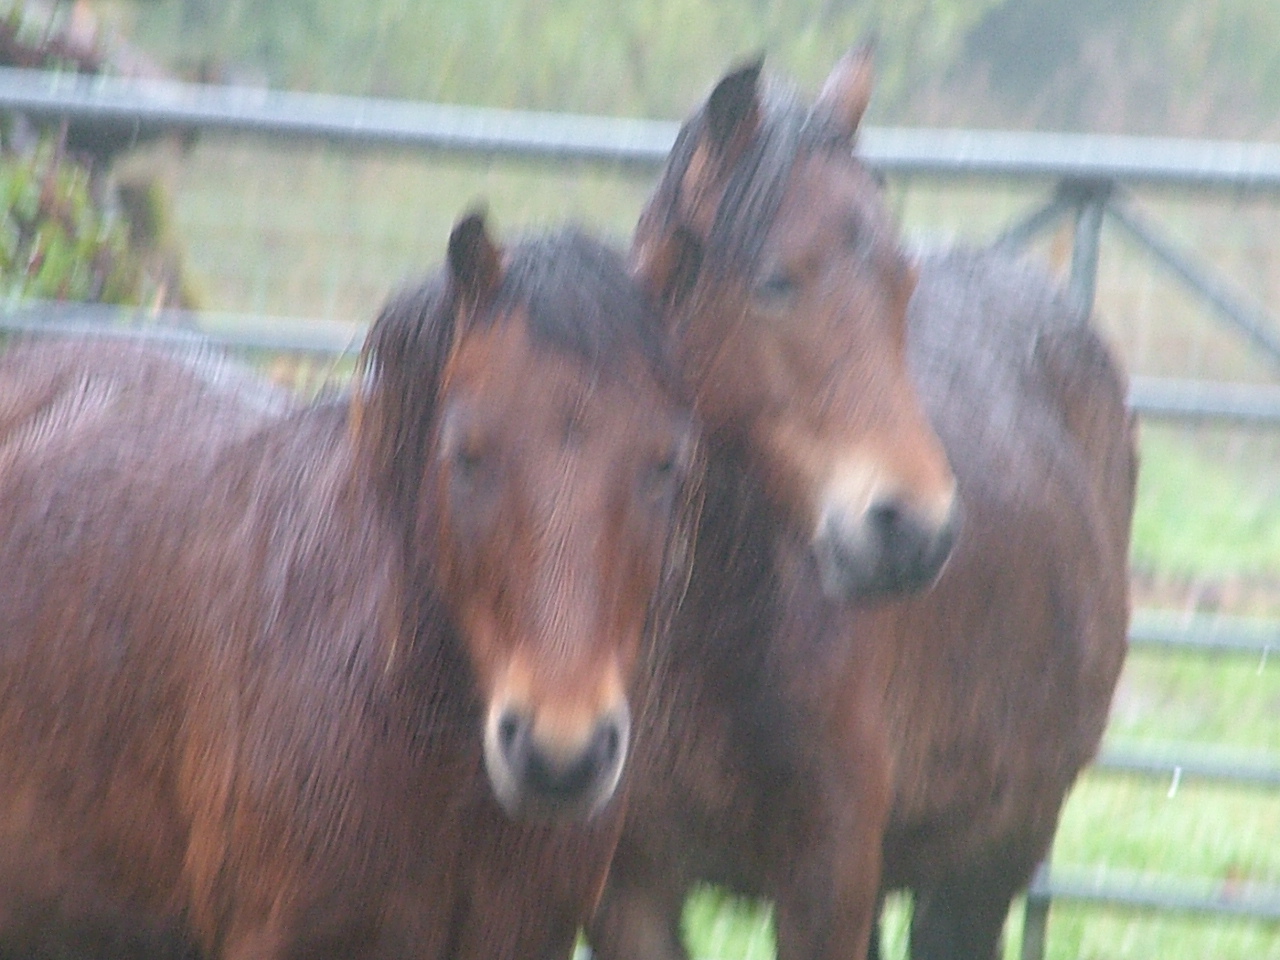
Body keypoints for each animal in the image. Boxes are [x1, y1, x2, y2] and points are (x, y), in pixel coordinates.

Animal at [589, 49, 1135, 960]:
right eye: (774, 282)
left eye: (900, 280)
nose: (914, 529)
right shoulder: (628, 884)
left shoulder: (829, 878)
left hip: (987, 860)